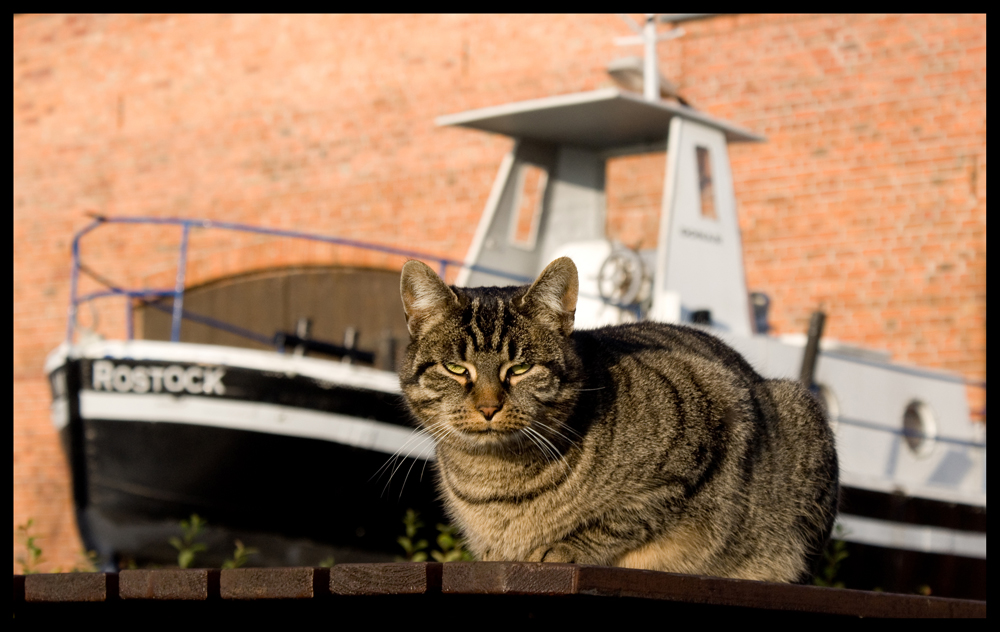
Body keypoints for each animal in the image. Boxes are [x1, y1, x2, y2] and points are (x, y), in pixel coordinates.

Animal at [396, 256, 836, 584]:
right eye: (456, 368)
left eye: (520, 368)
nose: (488, 407)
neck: (494, 476)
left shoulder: (702, 429)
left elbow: (623, 518)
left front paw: (564, 547)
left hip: (800, 413)